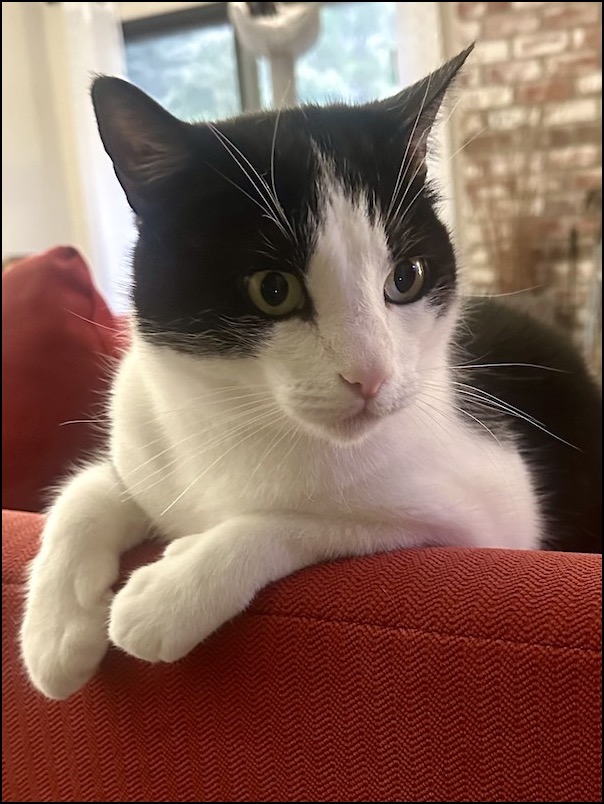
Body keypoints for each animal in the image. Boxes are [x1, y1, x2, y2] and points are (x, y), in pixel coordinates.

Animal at [18, 45, 600, 696]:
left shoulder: (494, 513)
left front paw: (173, 593)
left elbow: (326, 518)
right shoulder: (144, 434)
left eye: (406, 278)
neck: (245, 425)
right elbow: (92, 488)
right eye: (273, 289)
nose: (370, 375)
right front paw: (55, 632)